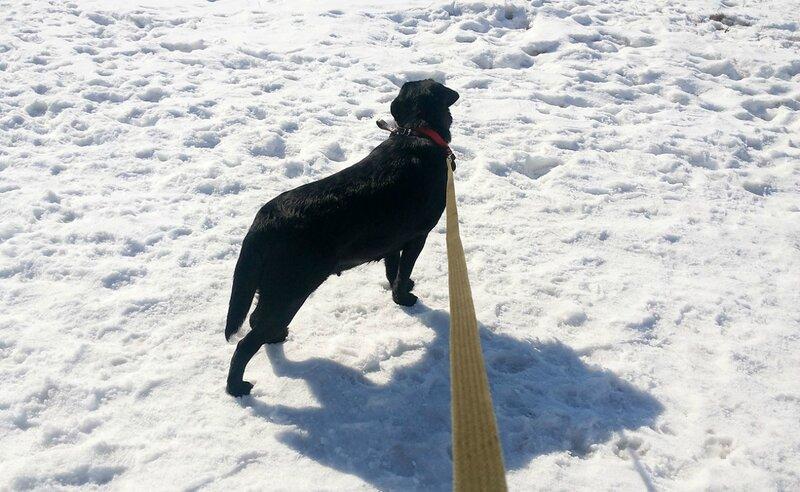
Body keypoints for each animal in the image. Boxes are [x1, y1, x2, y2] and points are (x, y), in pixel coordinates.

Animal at [225, 80, 462, 396]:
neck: (418, 130)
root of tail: (263, 221)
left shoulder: (391, 238)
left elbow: (393, 268)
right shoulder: (417, 235)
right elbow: (403, 270)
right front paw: (404, 298)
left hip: (275, 289)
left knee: (255, 322)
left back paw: (276, 337)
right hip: (289, 290)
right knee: (245, 342)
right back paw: (236, 386)